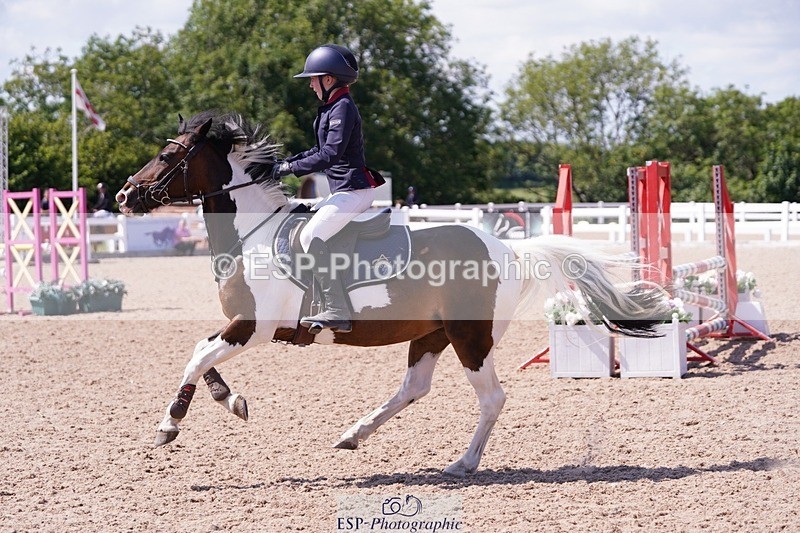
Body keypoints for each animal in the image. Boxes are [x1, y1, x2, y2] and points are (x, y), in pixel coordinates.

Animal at [116, 111, 668, 477]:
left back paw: (463, 463)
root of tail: (508, 248)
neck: (251, 234)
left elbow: (196, 356)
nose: (123, 196)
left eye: (167, 156)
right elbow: (202, 352)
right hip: (431, 333)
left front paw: (169, 425)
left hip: (470, 338)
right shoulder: (242, 326)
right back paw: (353, 434)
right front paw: (229, 400)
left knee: (491, 398)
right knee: (414, 388)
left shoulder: (255, 327)